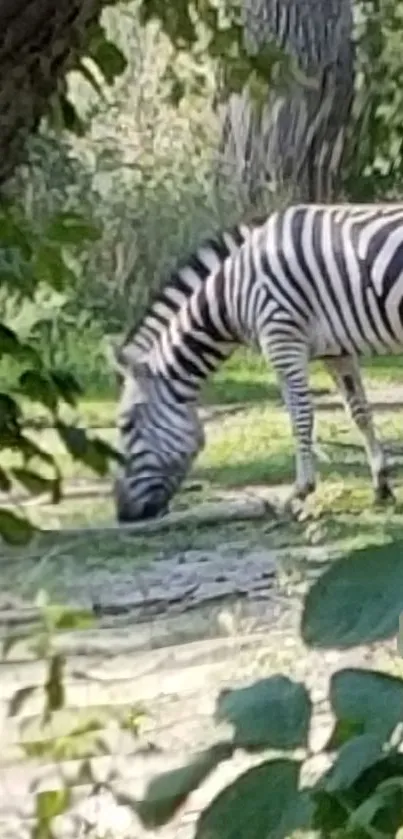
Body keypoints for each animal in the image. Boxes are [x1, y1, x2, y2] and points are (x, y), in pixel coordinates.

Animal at [111, 203, 403, 520]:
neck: (232, 290)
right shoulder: (336, 351)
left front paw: (299, 492)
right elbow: (359, 412)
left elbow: (300, 418)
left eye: (127, 425)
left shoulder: (282, 340)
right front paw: (381, 486)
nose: (123, 513)